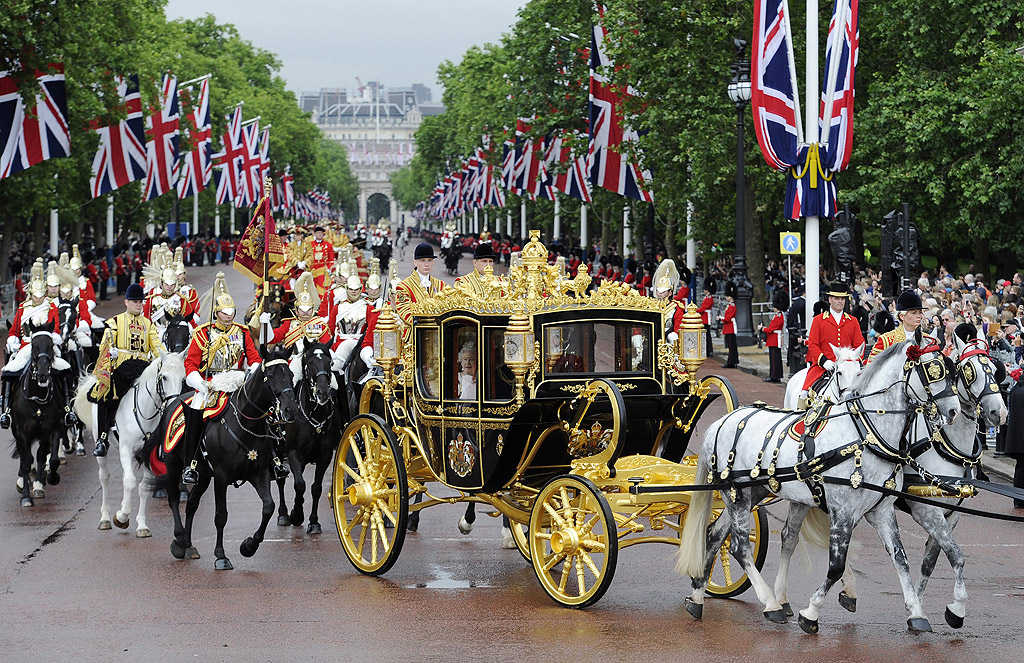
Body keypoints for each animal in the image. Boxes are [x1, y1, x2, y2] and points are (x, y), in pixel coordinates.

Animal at [11, 323, 64, 506]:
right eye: (33, 346)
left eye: (51, 345)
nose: (41, 374)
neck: (37, 398)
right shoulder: (22, 432)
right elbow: (26, 462)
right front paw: (26, 496)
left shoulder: (52, 430)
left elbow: (52, 459)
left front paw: (50, 479)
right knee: (26, 458)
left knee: (41, 455)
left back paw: (40, 483)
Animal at [74, 354, 186, 536]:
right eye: (164, 377)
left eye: (183, 379)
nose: (174, 405)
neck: (146, 412)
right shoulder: (125, 450)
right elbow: (130, 481)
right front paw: (121, 517)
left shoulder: (148, 454)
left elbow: (144, 486)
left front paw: (141, 525)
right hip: (102, 446)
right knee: (105, 477)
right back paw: (105, 518)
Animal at [137, 348, 296, 569]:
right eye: (270, 377)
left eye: (290, 375)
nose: (291, 410)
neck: (244, 424)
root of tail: (172, 403)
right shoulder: (221, 477)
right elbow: (221, 516)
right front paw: (221, 556)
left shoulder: (259, 473)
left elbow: (268, 507)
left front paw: (249, 546)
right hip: (173, 465)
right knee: (174, 498)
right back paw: (179, 541)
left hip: (203, 475)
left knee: (192, 504)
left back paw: (188, 545)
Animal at [276, 342, 348, 532]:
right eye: (309, 363)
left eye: (330, 363)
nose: (323, 393)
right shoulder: (293, 453)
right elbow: (299, 485)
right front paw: (296, 514)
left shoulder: (325, 456)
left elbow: (315, 488)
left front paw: (313, 521)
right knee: (280, 480)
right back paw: (283, 514)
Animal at [679, 342, 958, 631]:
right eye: (932, 370)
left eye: (952, 370)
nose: (953, 411)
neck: (867, 435)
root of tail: (720, 422)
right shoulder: (842, 510)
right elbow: (836, 566)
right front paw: (811, 612)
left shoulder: (880, 511)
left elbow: (900, 558)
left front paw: (916, 612)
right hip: (739, 496)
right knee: (740, 546)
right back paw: (771, 604)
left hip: (748, 493)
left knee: (714, 535)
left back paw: (697, 597)